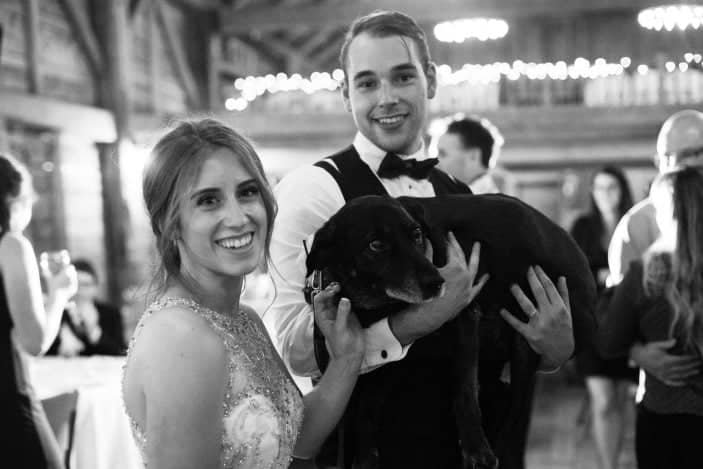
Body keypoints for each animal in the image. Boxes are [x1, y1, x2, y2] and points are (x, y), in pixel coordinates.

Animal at [306, 192, 596, 466]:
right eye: (376, 245)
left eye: (417, 235)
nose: (438, 282)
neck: (379, 306)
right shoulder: (385, 361)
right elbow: (366, 409)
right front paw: (364, 456)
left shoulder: (465, 321)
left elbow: (464, 391)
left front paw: (476, 449)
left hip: (525, 346)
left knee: (511, 421)